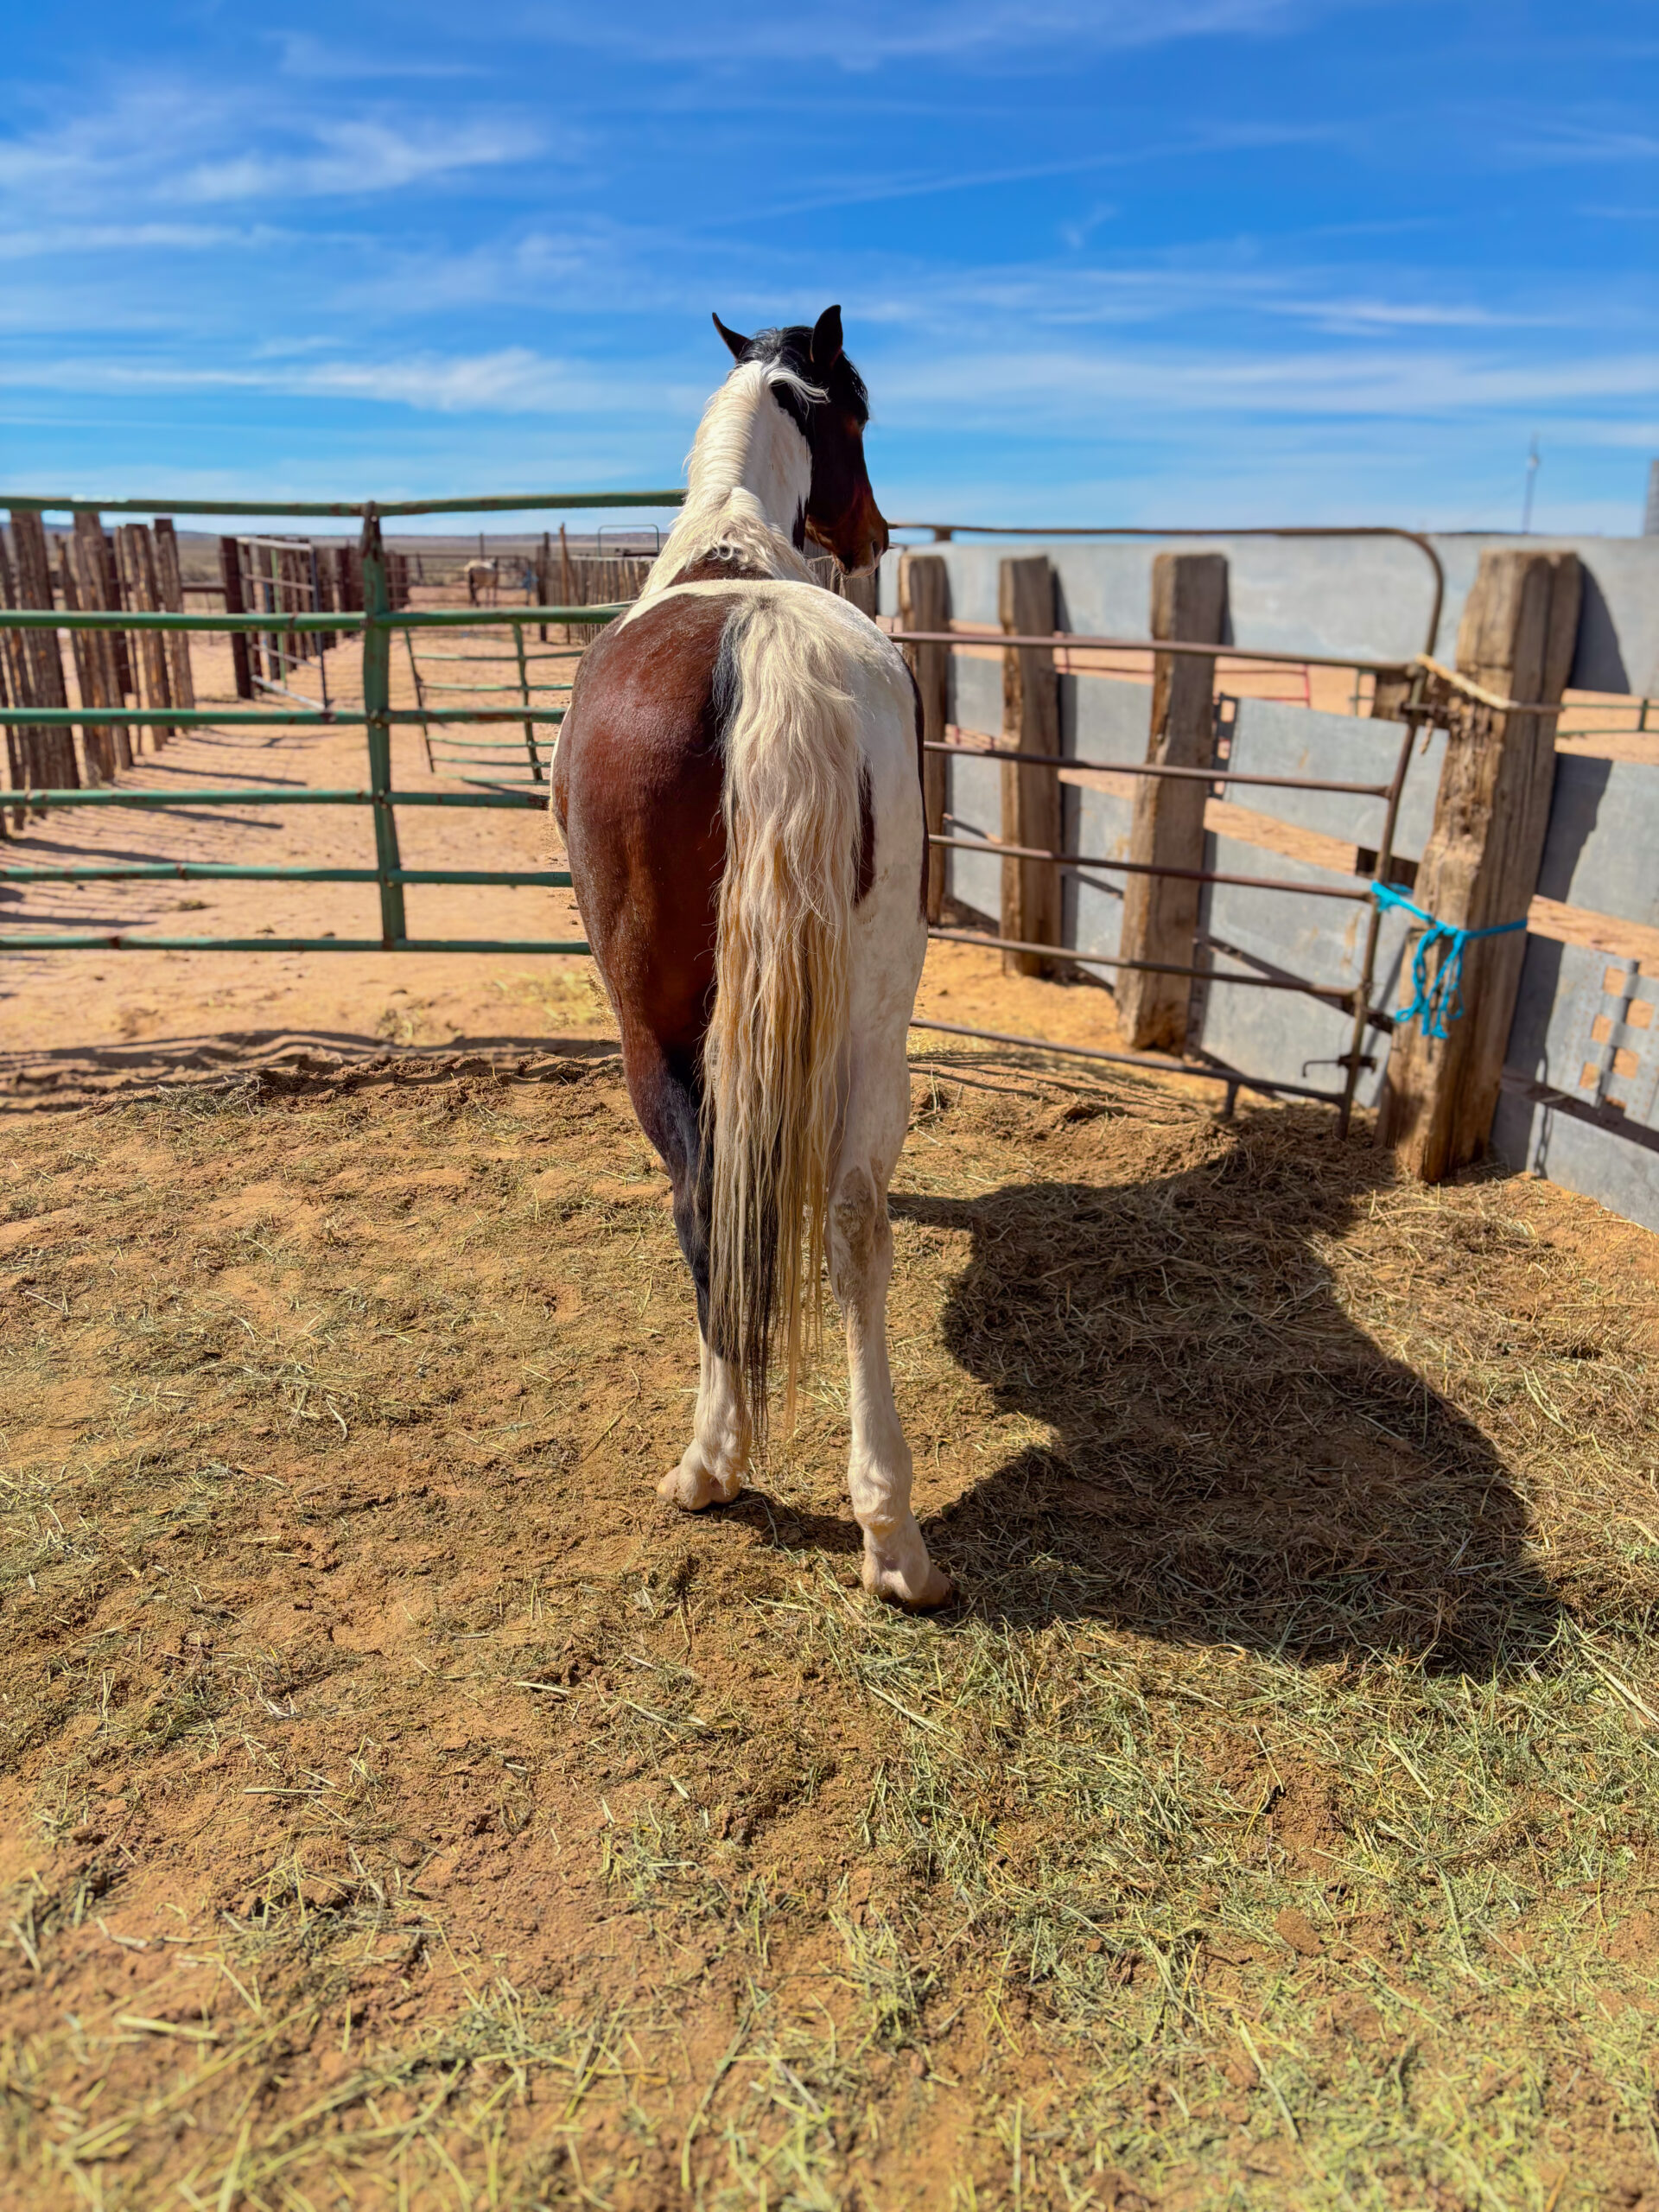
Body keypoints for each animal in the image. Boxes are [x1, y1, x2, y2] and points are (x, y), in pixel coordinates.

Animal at [551, 305, 953, 1610]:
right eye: (860, 417)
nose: (875, 534)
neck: (730, 550)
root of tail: (763, 641)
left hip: (653, 1025)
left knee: (705, 1200)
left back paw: (711, 1463)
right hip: (876, 1008)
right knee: (857, 1218)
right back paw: (893, 1536)